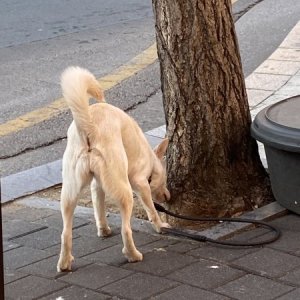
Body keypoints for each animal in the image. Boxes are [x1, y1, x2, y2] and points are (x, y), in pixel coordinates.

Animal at [57, 66, 170, 272]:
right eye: (165, 180)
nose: (168, 197)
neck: (150, 158)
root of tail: (89, 126)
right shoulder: (140, 183)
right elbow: (151, 209)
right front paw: (160, 225)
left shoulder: (97, 186)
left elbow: (99, 208)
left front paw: (103, 230)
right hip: (124, 192)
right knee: (126, 229)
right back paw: (133, 255)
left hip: (69, 192)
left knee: (65, 232)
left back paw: (64, 263)